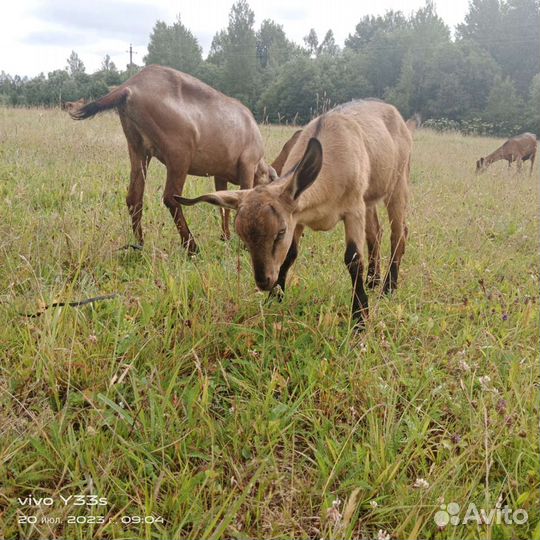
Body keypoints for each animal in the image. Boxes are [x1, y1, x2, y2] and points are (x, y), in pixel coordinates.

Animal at [175, 100, 412, 330]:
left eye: (280, 232)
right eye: (242, 237)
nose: (263, 281)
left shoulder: (353, 209)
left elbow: (353, 259)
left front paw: (360, 318)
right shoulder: (298, 217)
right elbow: (290, 255)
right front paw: (274, 299)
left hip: (398, 183)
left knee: (398, 233)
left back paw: (388, 288)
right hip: (370, 198)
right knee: (376, 233)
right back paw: (373, 281)